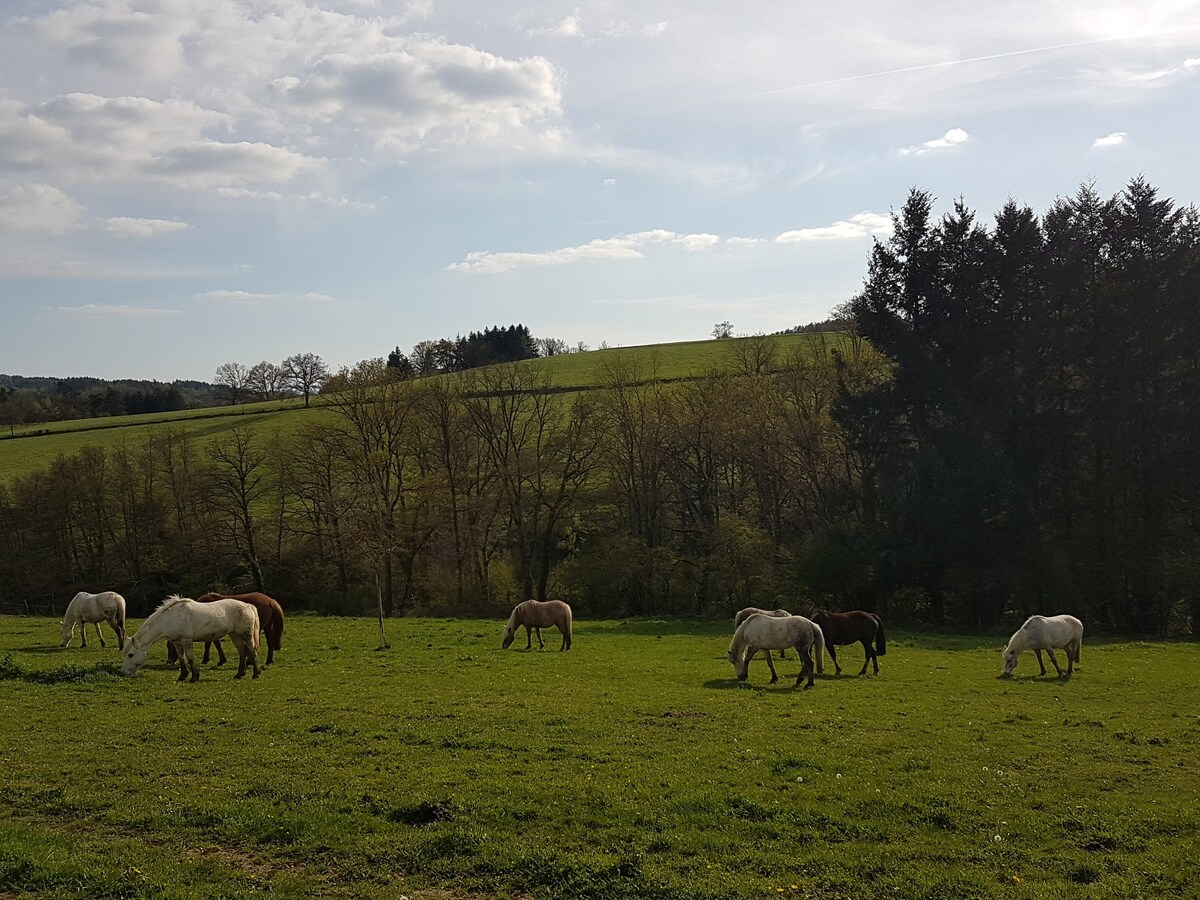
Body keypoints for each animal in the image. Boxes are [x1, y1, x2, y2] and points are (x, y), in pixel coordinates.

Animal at [121, 600, 260, 681]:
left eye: (131, 654)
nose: (123, 672)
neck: (171, 618)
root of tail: (249, 606)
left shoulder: (186, 640)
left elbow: (190, 657)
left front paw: (194, 677)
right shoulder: (177, 641)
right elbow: (181, 657)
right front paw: (183, 676)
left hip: (246, 635)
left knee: (251, 651)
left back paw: (255, 674)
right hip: (234, 635)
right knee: (242, 651)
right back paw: (239, 674)